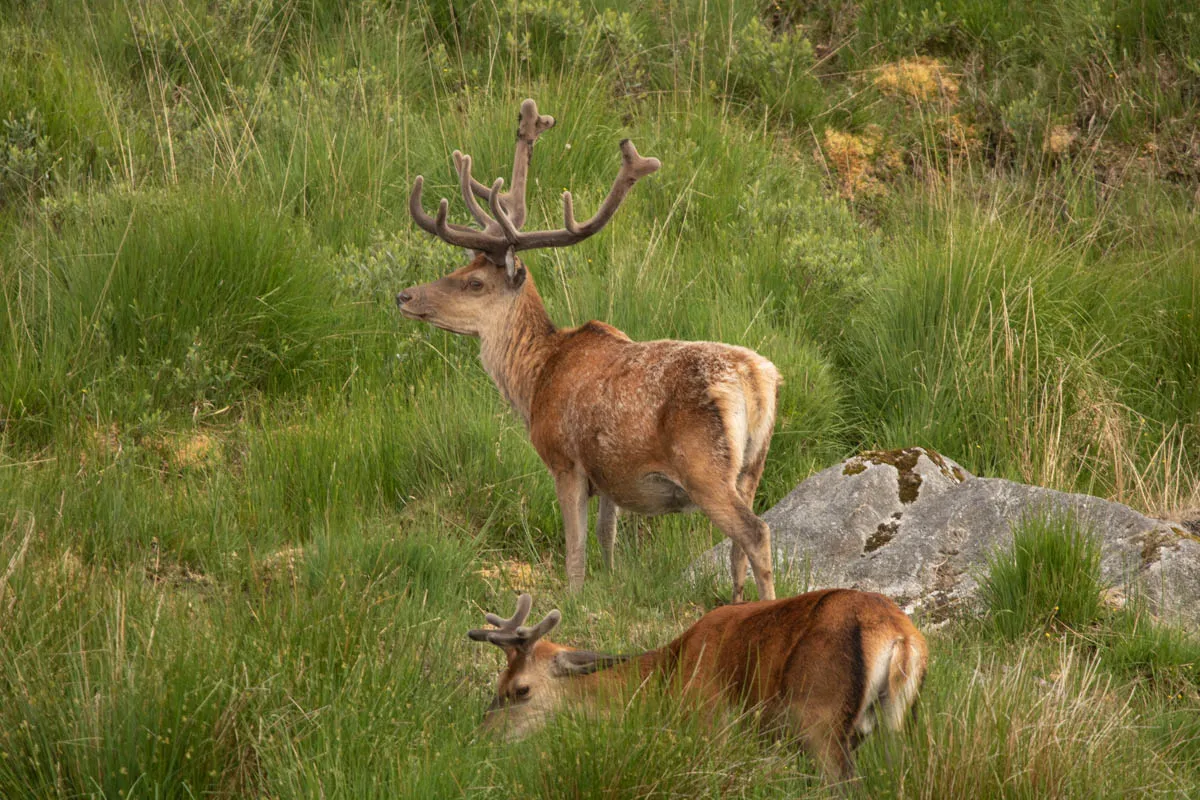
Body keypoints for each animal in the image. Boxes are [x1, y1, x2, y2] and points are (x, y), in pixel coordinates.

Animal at [398, 100, 782, 599]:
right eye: (461, 267)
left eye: (475, 282)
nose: (404, 296)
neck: (534, 380)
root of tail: (756, 381)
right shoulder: (612, 474)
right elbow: (606, 536)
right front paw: (612, 582)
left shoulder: (565, 459)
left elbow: (575, 547)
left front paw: (573, 597)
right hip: (753, 465)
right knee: (739, 544)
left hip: (705, 467)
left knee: (755, 532)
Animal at [468, 587, 926, 782]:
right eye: (497, 682)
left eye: (521, 689)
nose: (480, 739)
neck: (666, 678)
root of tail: (901, 637)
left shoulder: (711, 727)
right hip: (894, 723)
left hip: (820, 715)